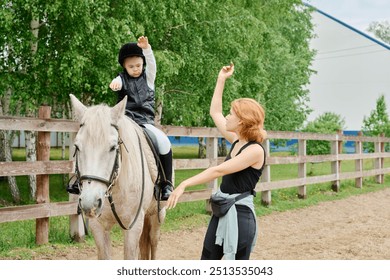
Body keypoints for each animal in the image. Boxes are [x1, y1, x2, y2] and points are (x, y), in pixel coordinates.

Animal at [70, 94, 165, 260]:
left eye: (113, 147)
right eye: (77, 147)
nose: (90, 203)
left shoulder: (133, 226)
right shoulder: (98, 226)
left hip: (157, 216)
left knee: (153, 245)